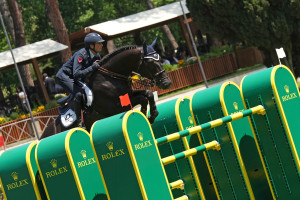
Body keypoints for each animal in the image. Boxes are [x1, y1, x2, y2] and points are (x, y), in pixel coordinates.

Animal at [40, 39, 171, 139]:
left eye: (160, 59)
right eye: (150, 62)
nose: (167, 83)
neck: (111, 77)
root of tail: (42, 136)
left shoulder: (129, 94)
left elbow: (148, 94)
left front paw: (152, 115)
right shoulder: (115, 107)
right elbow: (142, 99)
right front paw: (145, 115)